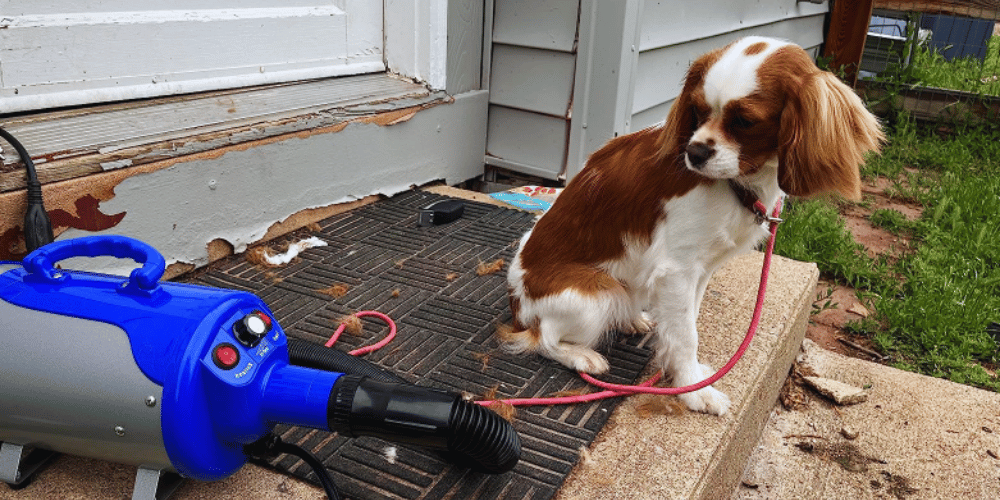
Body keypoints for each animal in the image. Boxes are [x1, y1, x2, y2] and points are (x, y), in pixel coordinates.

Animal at [508, 37, 884, 414]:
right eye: (698, 111)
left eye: (744, 121)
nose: (695, 152)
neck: (738, 183)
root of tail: (517, 302)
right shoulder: (677, 270)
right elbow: (687, 334)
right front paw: (693, 389)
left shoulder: (700, 270)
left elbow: (686, 323)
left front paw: (687, 375)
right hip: (597, 295)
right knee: (542, 337)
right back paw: (580, 355)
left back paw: (632, 318)